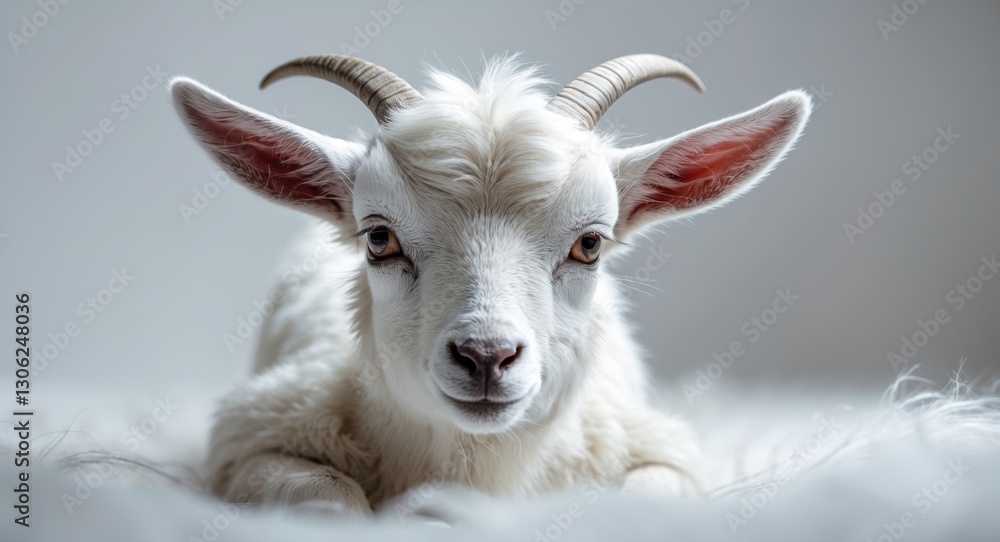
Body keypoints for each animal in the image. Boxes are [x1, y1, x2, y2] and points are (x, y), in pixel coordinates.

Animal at [169, 53, 811, 519]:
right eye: (378, 238)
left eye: (590, 244)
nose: (486, 356)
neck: (476, 463)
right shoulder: (251, 441)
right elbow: (327, 503)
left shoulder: (659, 454)